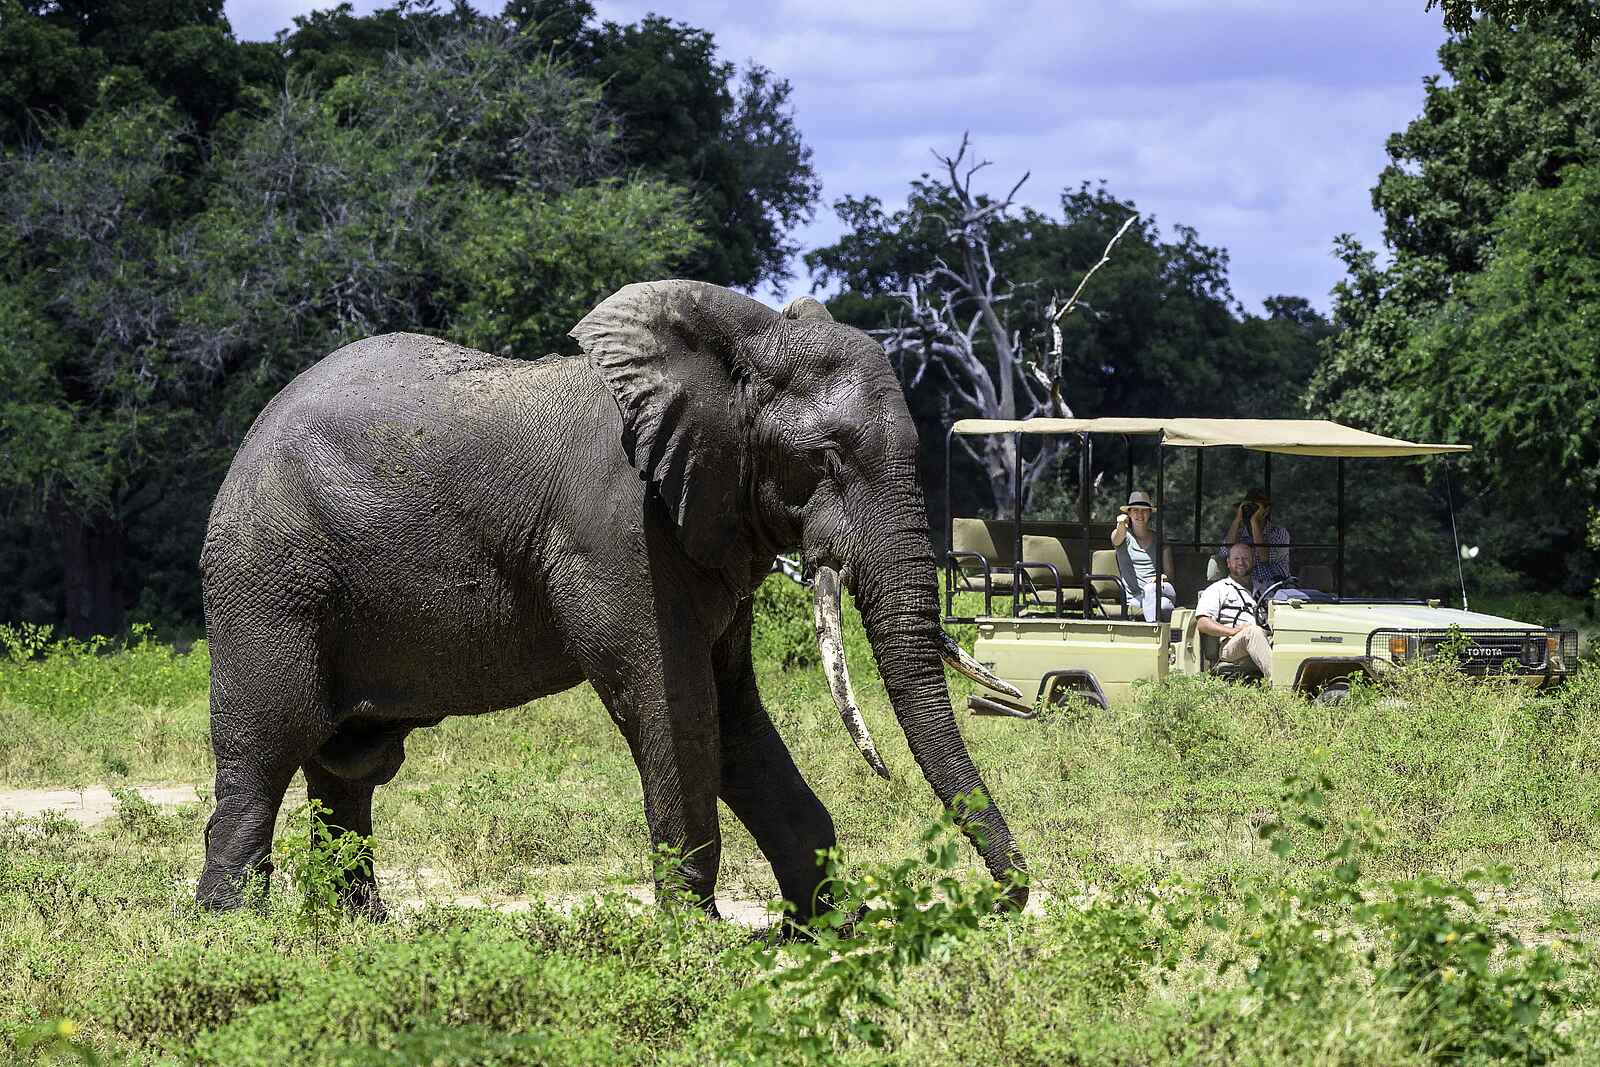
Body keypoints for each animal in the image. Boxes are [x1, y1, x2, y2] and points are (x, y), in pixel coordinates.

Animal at [195, 279, 1027, 921]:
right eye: (825, 458)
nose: (1008, 901)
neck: (740, 346)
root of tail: (247, 440)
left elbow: (733, 713)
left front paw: (830, 929)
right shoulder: (620, 533)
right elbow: (672, 702)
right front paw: (698, 941)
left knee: (348, 769)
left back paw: (357, 931)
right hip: (267, 582)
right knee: (265, 750)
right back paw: (236, 933)